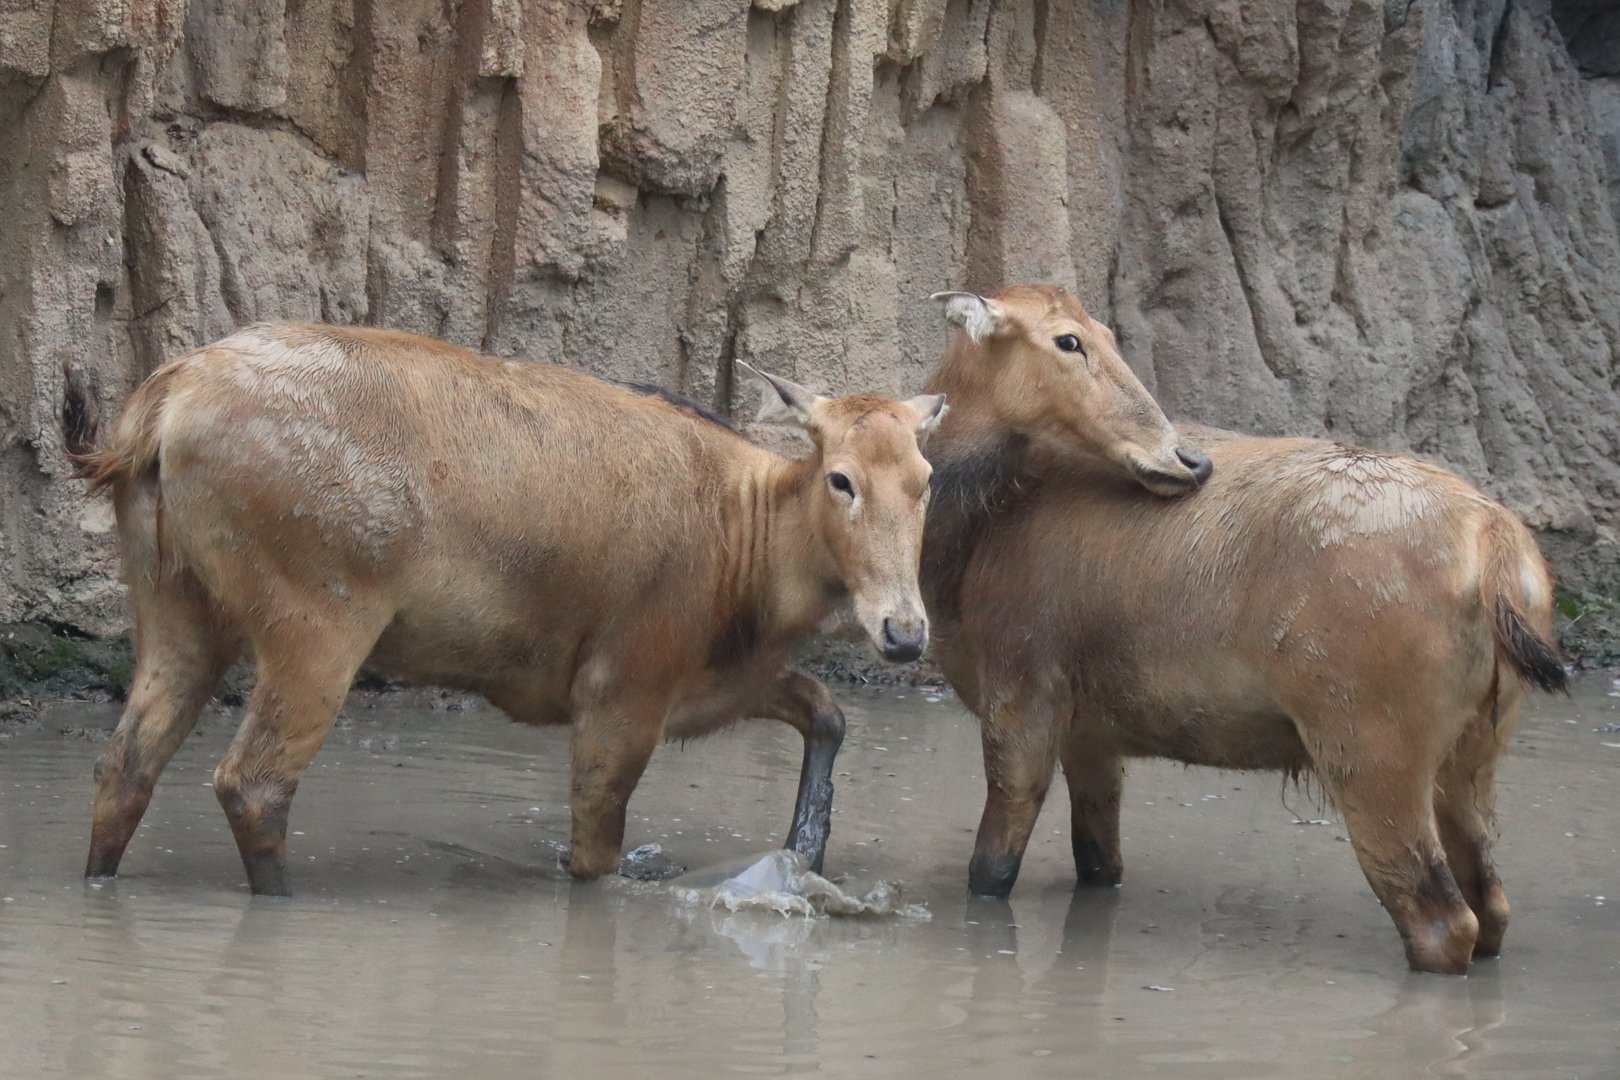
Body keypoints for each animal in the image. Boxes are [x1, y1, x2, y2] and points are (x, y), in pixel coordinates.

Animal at [69, 322, 945, 896]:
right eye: (840, 476)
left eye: (926, 478)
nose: (905, 631)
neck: (755, 561)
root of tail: (156, 411)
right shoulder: (623, 685)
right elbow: (595, 854)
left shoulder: (720, 684)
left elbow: (826, 709)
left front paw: (806, 855)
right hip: (318, 616)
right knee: (252, 783)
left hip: (174, 604)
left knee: (125, 764)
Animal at [918, 284, 1566, 974]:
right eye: (1069, 339)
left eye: (1103, 335)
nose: (1188, 459)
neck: (965, 541)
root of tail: (1498, 551)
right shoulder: (1092, 732)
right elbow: (1099, 864)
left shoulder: (1021, 691)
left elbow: (990, 871)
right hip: (1473, 756)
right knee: (1492, 907)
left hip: (1371, 748)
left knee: (1443, 921)